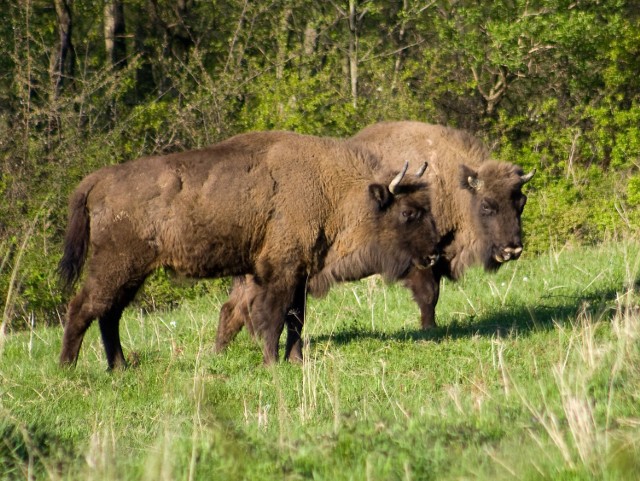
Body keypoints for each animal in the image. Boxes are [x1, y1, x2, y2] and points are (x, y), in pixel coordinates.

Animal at [58, 128, 440, 368]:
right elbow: (272, 316)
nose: (434, 252)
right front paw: (271, 363)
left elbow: (296, 318)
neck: (331, 187)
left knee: (108, 314)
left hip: (131, 273)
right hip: (118, 266)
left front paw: (295, 360)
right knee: (84, 308)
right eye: (408, 212)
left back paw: (119, 367)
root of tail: (98, 179)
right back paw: (68, 368)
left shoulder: (298, 273)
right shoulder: (280, 272)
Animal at [216, 122, 536, 350]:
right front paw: (429, 330)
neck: (451, 183)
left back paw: (220, 353)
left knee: (231, 309)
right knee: (239, 308)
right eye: (487, 205)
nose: (513, 249)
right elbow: (429, 295)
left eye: (520, 202)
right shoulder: (421, 260)